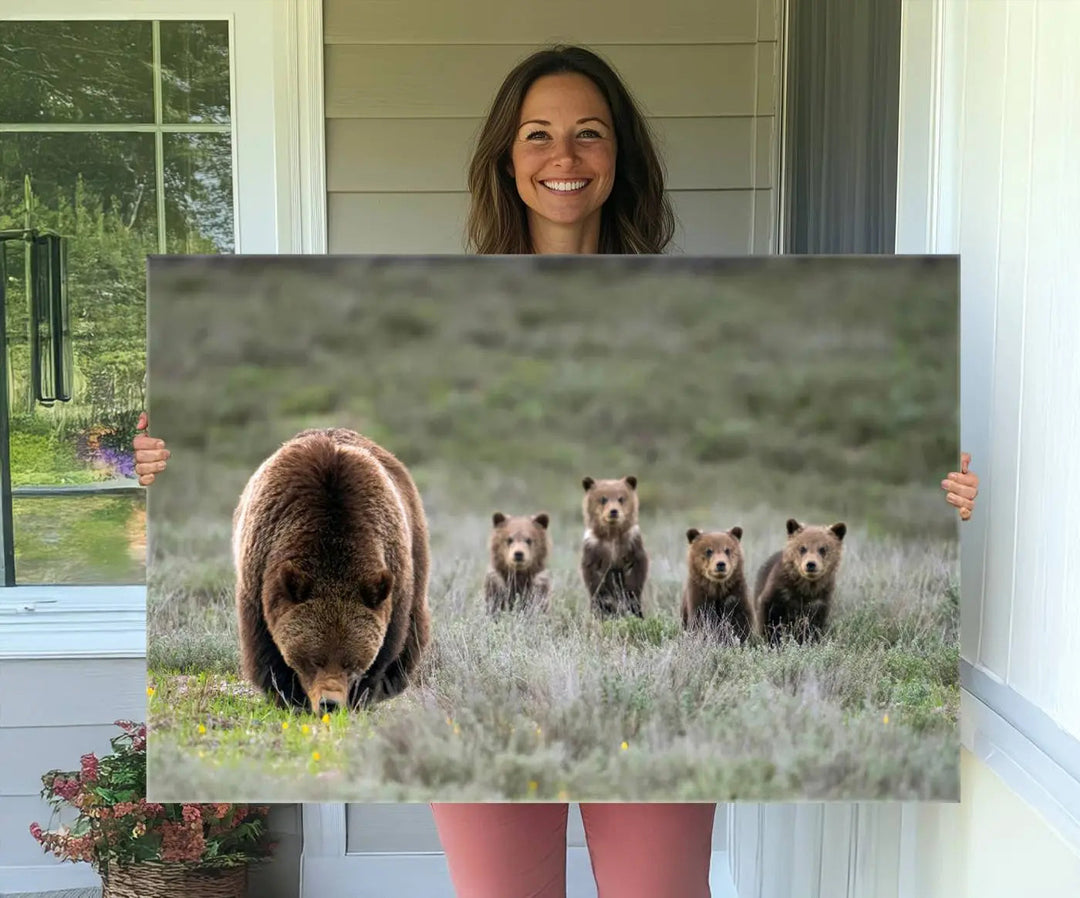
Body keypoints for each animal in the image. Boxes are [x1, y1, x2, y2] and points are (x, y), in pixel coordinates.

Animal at [232, 427, 429, 717]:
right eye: (315, 660)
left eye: (350, 662)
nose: (330, 703)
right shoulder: (260, 575)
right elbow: (266, 648)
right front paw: (288, 696)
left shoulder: (393, 577)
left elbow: (387, 647)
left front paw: (361, 697)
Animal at [583, 477, 648, 618]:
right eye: (603, 498)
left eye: (621, 498)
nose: (613, 511)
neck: (612, 536)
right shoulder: (594, 547)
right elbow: (594, 577)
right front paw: (605, 603)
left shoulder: (631, 543)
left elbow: (635, 572)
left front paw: (629, 598)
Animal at [751, 518, 842, 648]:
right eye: (802, 548)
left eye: (823, 549)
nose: (811, 564)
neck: (805, 590)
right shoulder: (778, 594)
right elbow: (770, 620)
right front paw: (773, 642)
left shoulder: (819, 601)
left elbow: (813, 627)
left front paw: (808, 642)